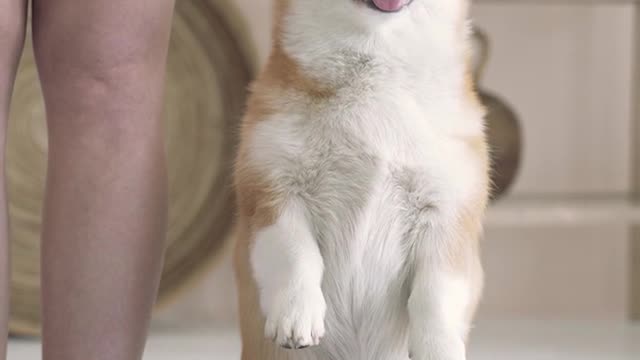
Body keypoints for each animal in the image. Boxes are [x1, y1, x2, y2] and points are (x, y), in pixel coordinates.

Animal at [235, 1, 490, 358]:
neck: (378, 66)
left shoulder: (447, 215)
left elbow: (436, 294)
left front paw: (438, 347)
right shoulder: (274, 192)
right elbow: (295, 256)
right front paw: (296, 315)